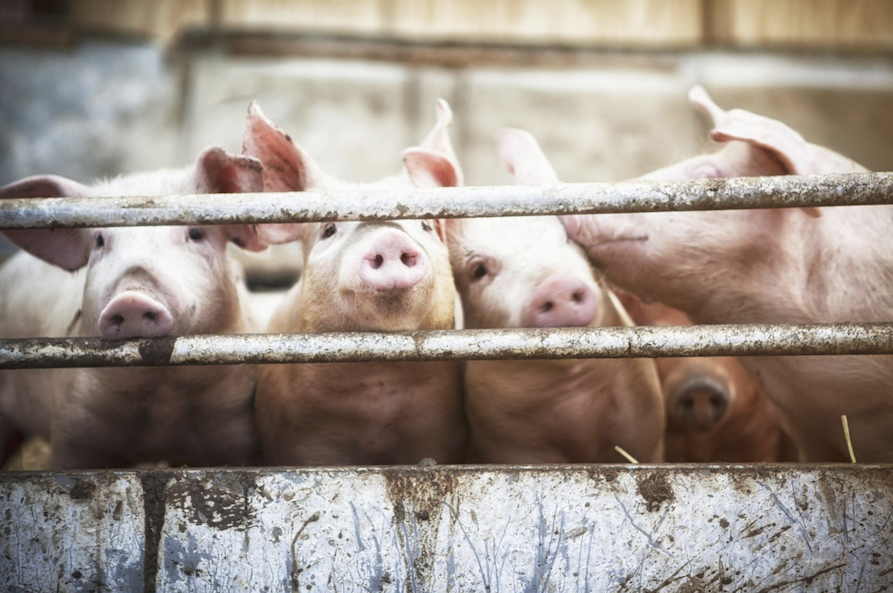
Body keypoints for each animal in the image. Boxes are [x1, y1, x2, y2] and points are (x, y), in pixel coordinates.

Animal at [0, 146, 268, 469]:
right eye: (99, 241)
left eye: (195, 234)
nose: (131, 299)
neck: (163, 397)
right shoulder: (75, 424)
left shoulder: (234, 427)